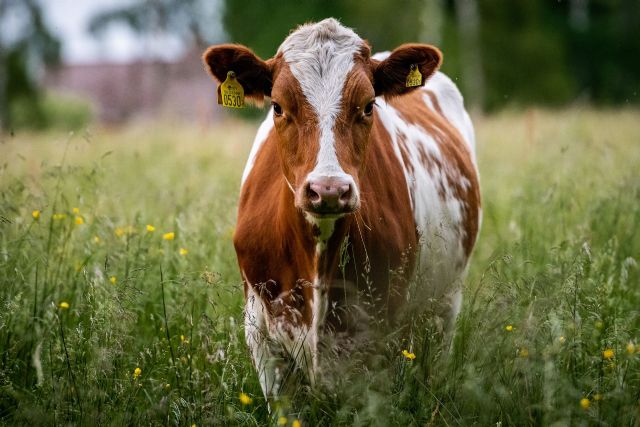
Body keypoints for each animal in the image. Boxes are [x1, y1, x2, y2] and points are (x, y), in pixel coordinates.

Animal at [201, 17, 480, 404]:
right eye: (278, 106)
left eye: (368, 106)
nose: (328, 189)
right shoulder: (262, 337)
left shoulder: (380, 337)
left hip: (445, 303)